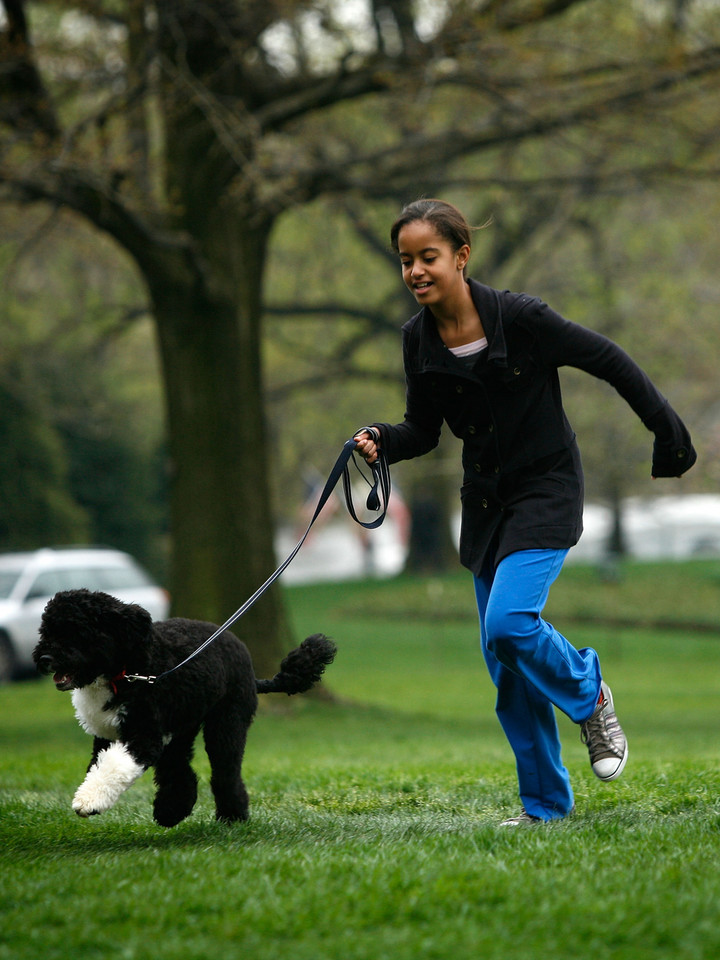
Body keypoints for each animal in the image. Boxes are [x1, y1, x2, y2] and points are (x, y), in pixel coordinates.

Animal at [33, 588, 338, 828]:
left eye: (78, 631)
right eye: (46, 630)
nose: (45, 657)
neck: (127, 671)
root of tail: (252, 674)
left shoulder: (144, 735)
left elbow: (115, 765)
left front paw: (89, 800)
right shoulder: (108, 735)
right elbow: (101, 764)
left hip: (226, 722)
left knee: (225, 772)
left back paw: (231, 816)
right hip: (182, 726)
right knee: (180, 770)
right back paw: (172, 810)